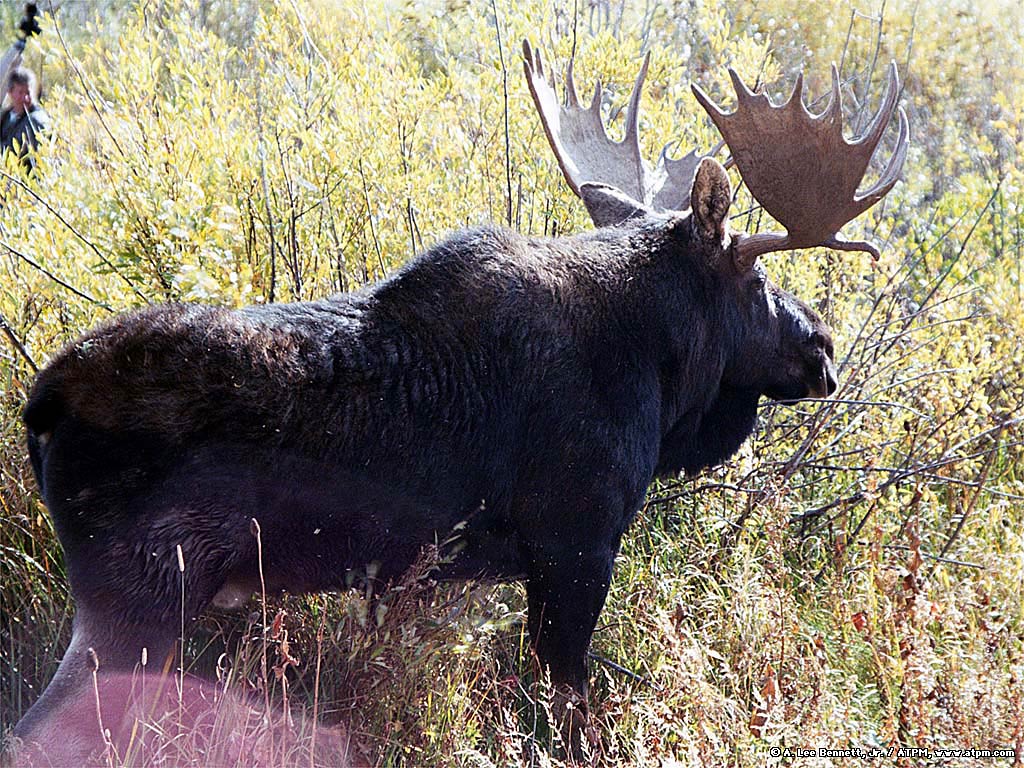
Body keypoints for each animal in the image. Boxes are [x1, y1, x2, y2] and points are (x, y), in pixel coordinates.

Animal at [6, 40, 905, 765]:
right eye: (755, 279)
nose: (823, 346)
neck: (658, 371)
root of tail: (40, 404)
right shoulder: (577, 542)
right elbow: (569, 712)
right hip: (138, 595)